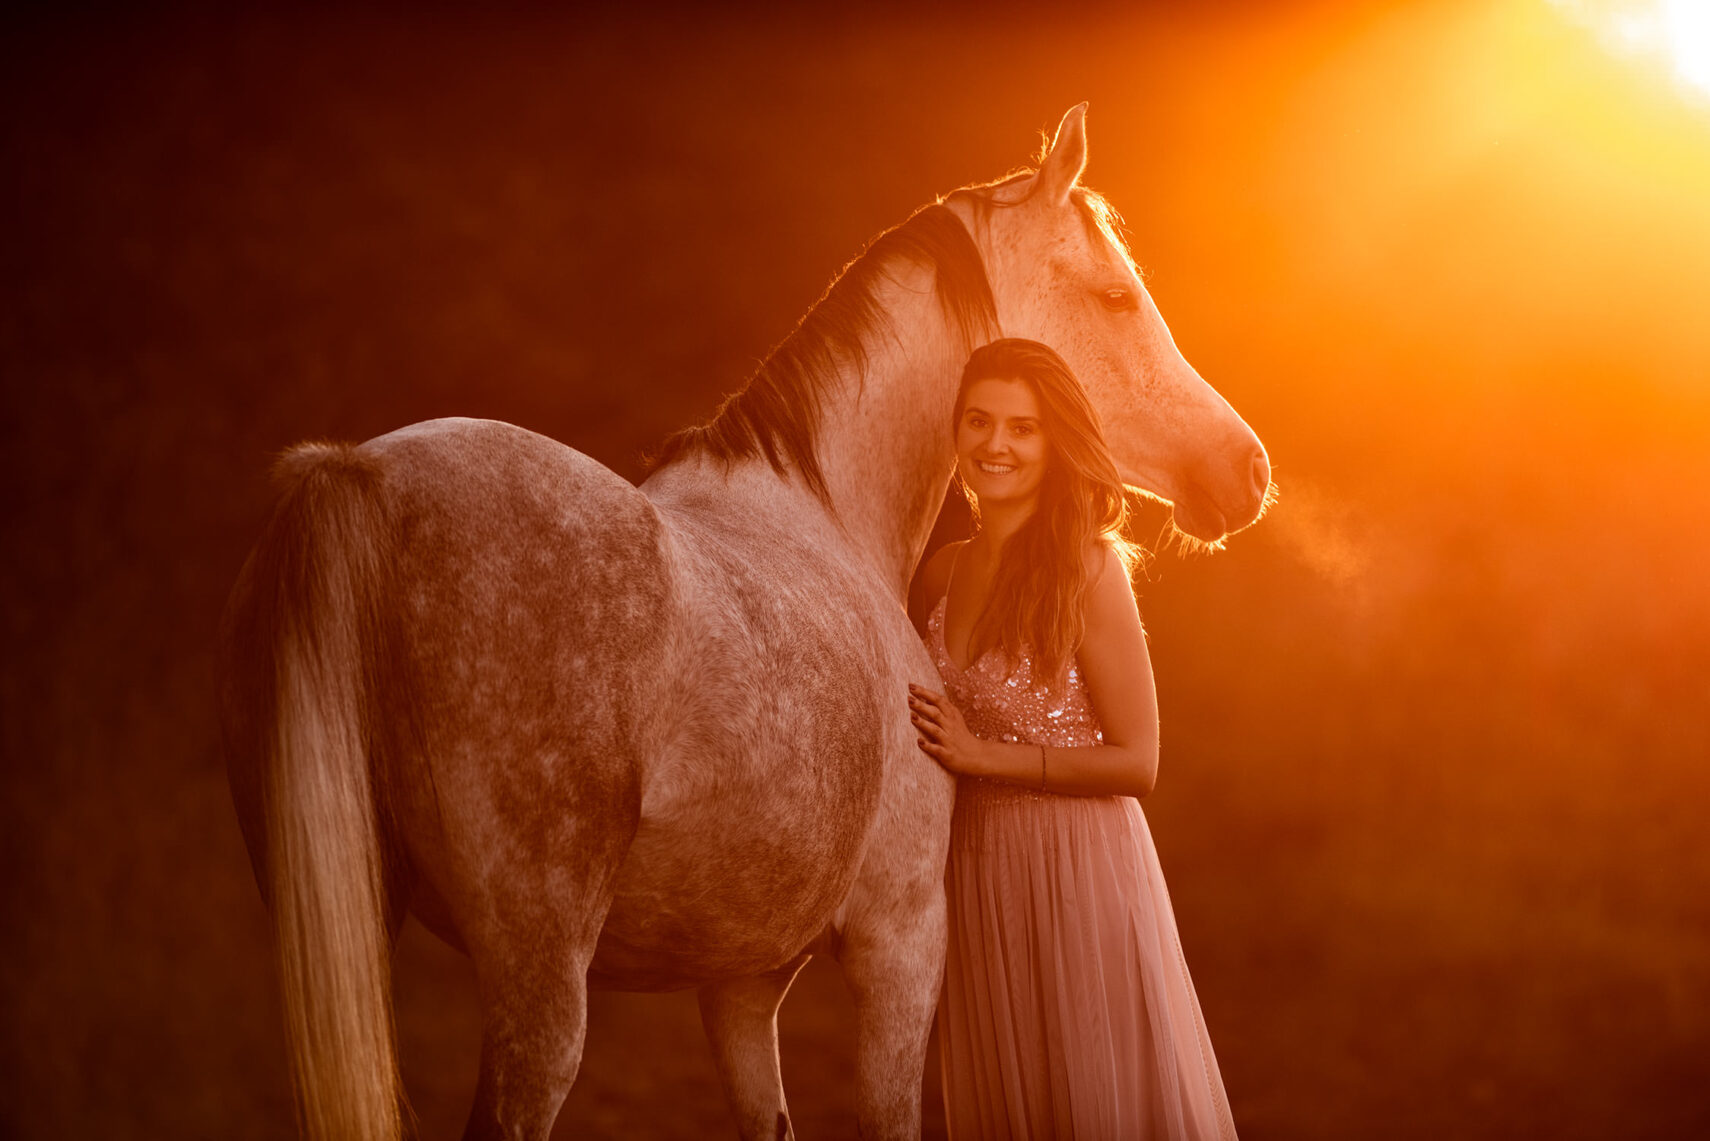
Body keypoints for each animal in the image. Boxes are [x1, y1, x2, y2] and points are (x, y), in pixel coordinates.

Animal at [219, 104, 1271, 1141]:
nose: (1246, 468)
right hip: (540, 978)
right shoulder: (901, 944)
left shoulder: (741, 983)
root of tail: (357, 475)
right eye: (1116, 295)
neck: (828, 510)